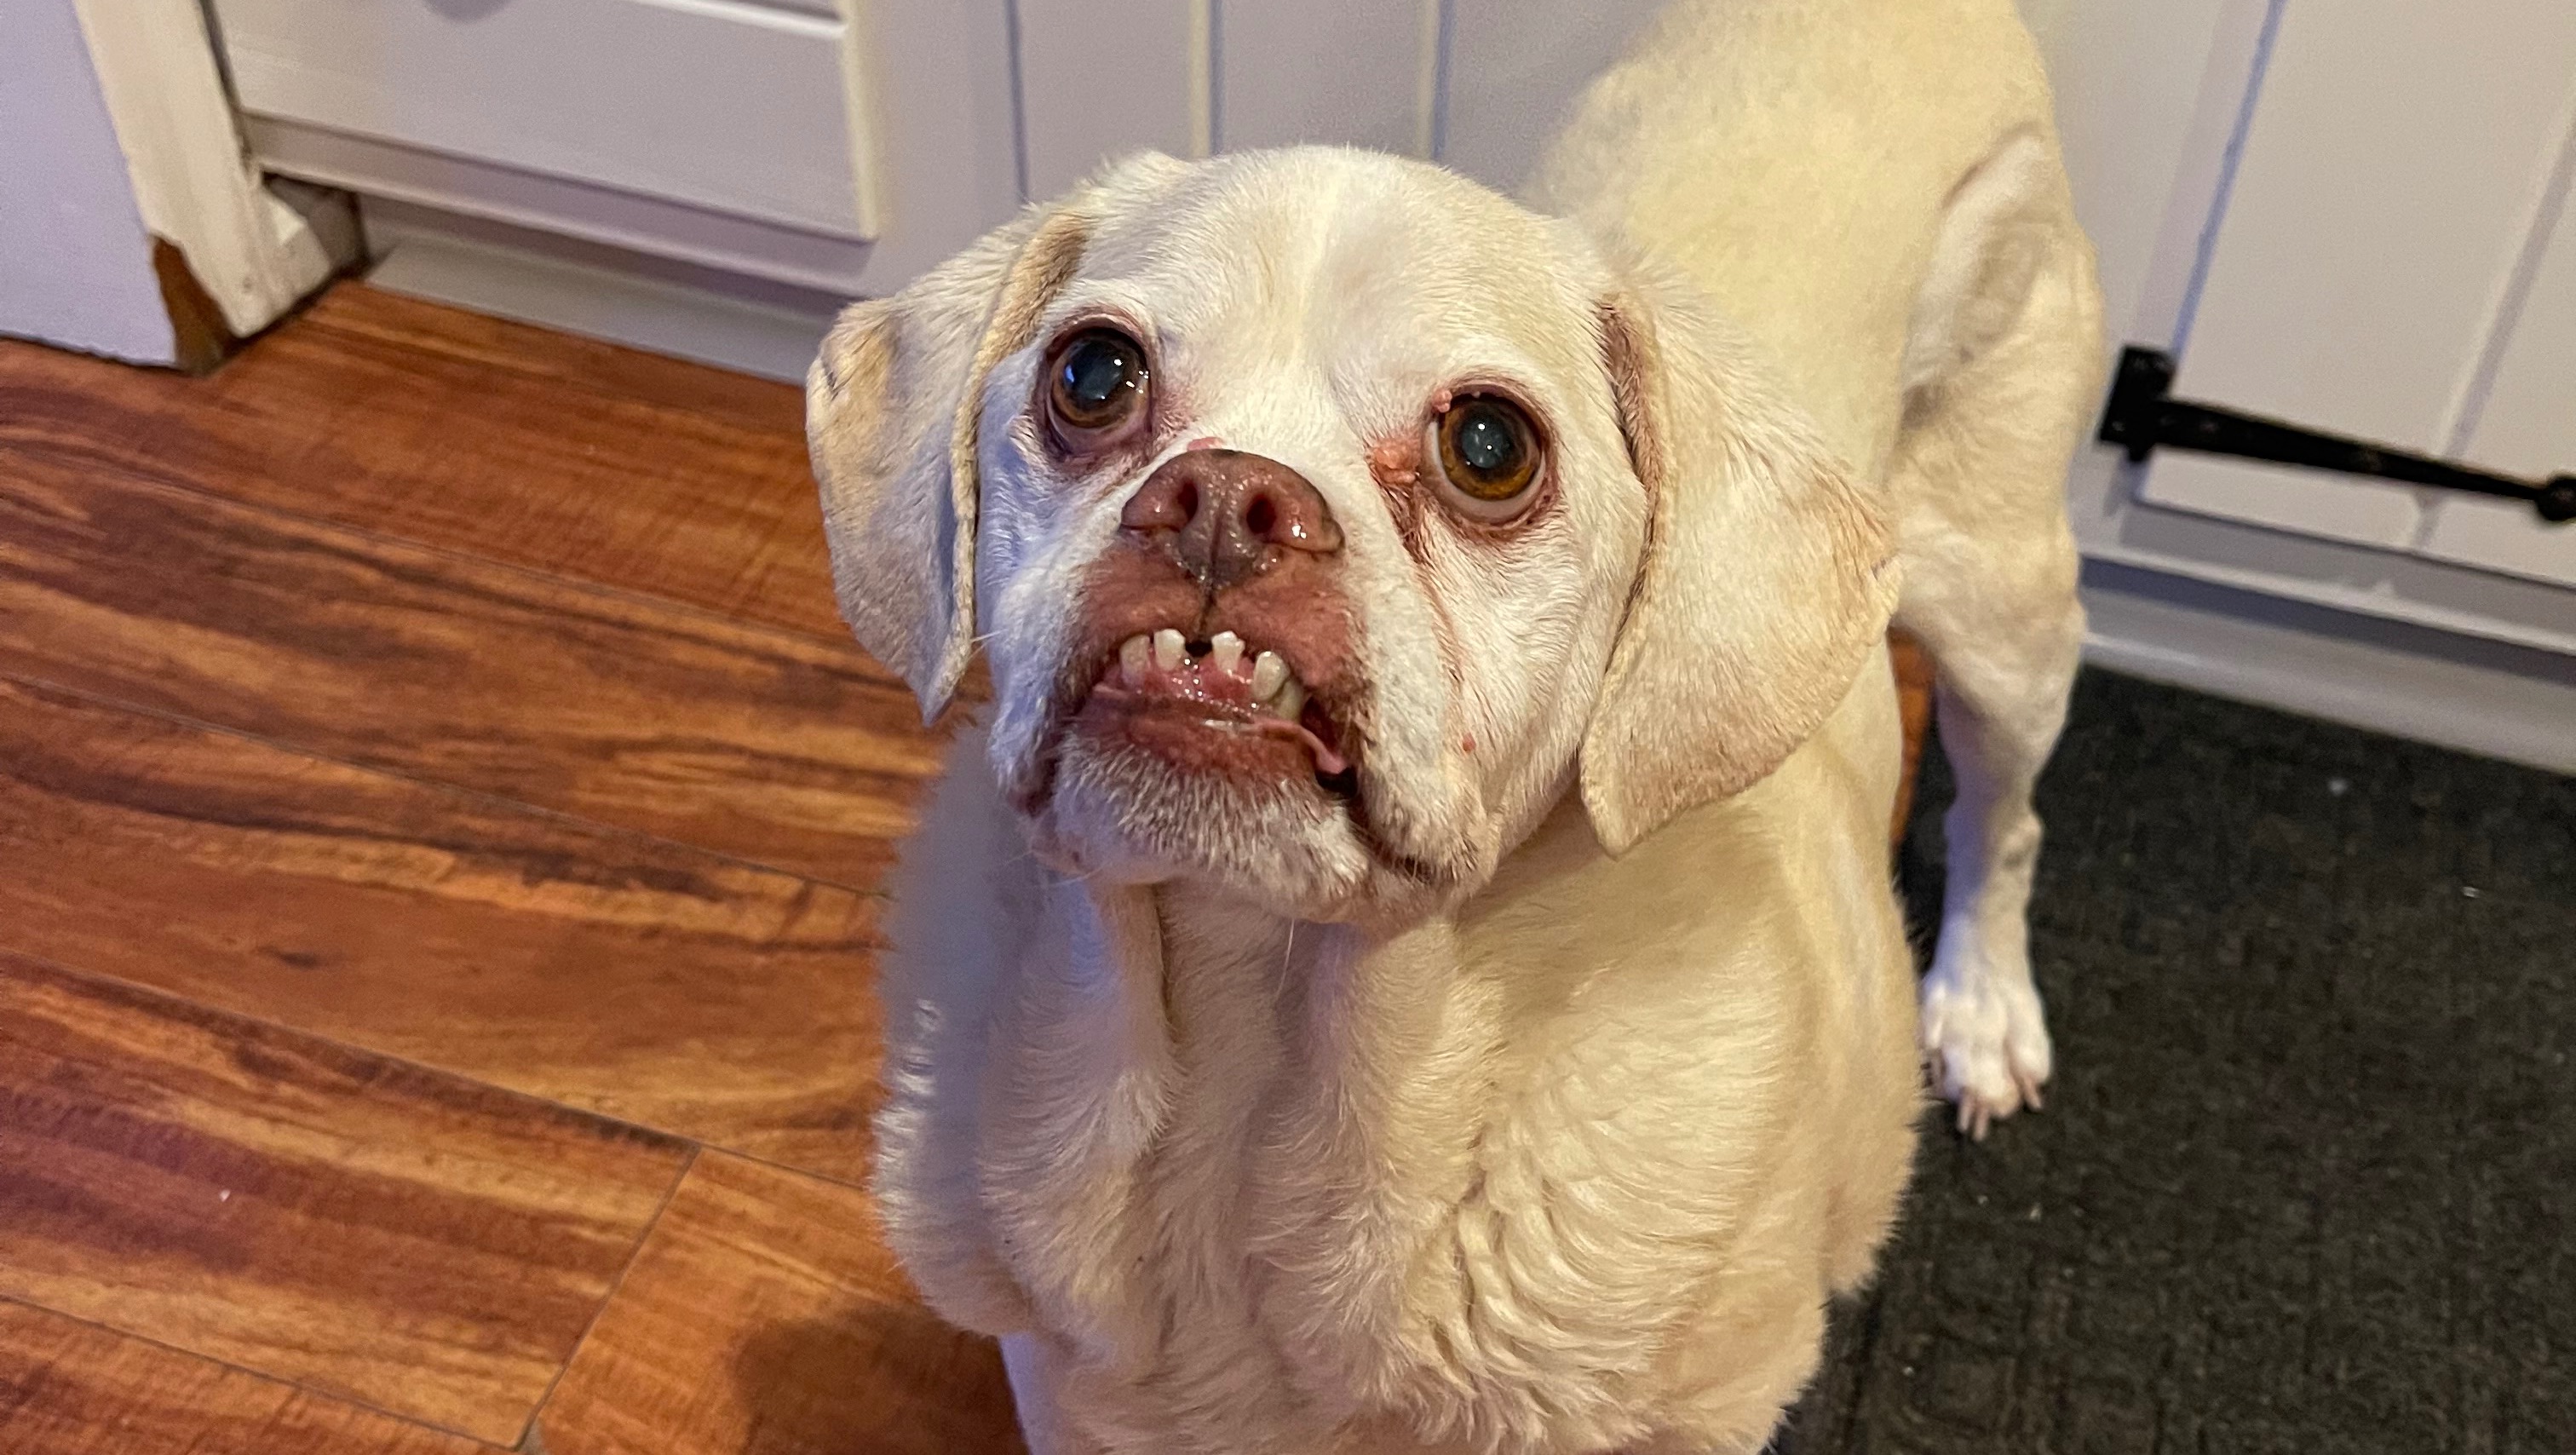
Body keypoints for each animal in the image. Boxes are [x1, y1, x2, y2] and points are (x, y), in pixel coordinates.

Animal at [805, 0, 2100, 1448]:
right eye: (1091, 372)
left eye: (1489, 446)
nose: (1224, 501)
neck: (1250, 1094)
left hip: (2006, 616)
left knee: (2006, 823)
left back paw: (1982, 1013)